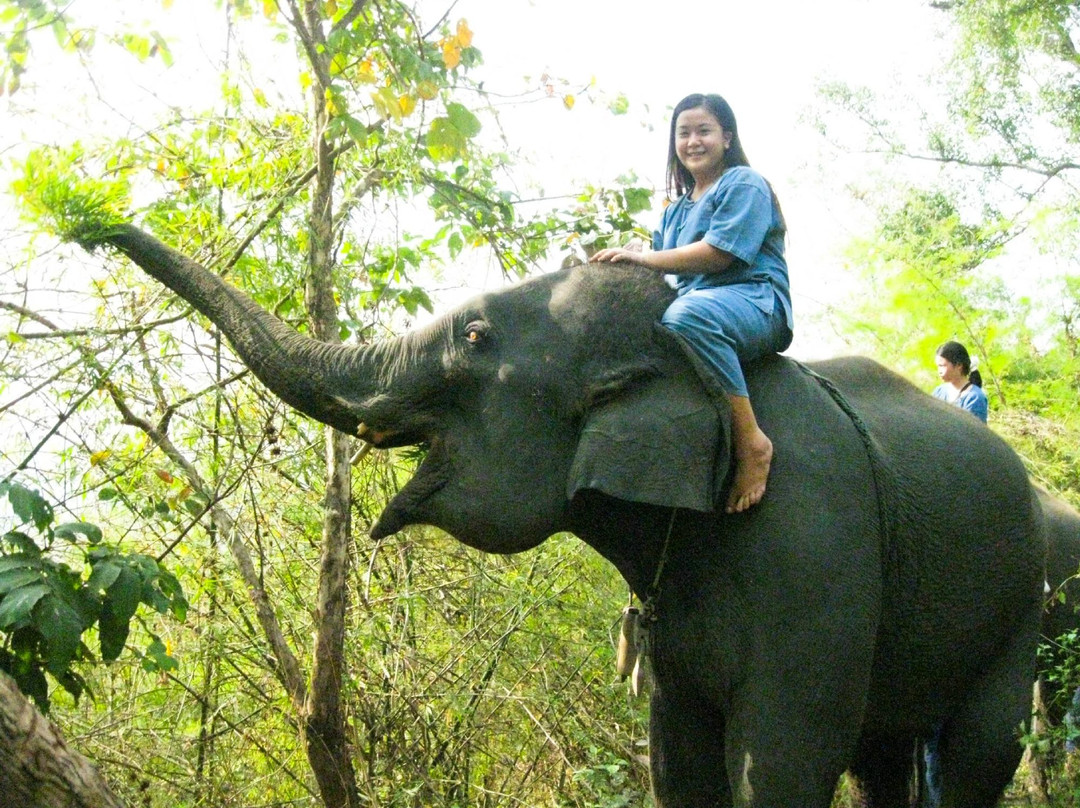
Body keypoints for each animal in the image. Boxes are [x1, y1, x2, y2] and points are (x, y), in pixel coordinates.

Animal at [84, 223, 1045, 808]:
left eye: (474, 338)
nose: (95, 227)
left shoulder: (813, 552)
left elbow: (783, 757)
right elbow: (679, 759)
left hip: (1024, 609)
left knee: (977, 752)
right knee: (887, 757)